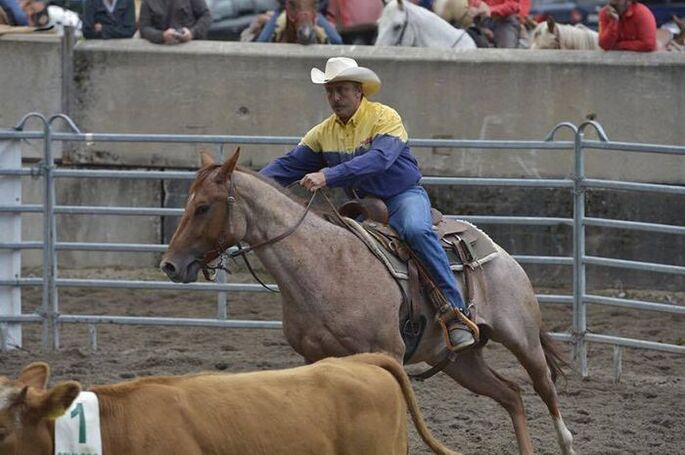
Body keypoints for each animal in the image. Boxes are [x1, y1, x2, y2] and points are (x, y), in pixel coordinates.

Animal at [160, 149, 577, 455]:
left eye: (204, 206)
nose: (170, 265)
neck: (326, 264)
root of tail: (498, 250)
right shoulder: (315, 358)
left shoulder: (388, 352)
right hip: (460, 360)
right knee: (512, 395)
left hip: (521, 337)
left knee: (544, 388)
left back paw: (566, 441)